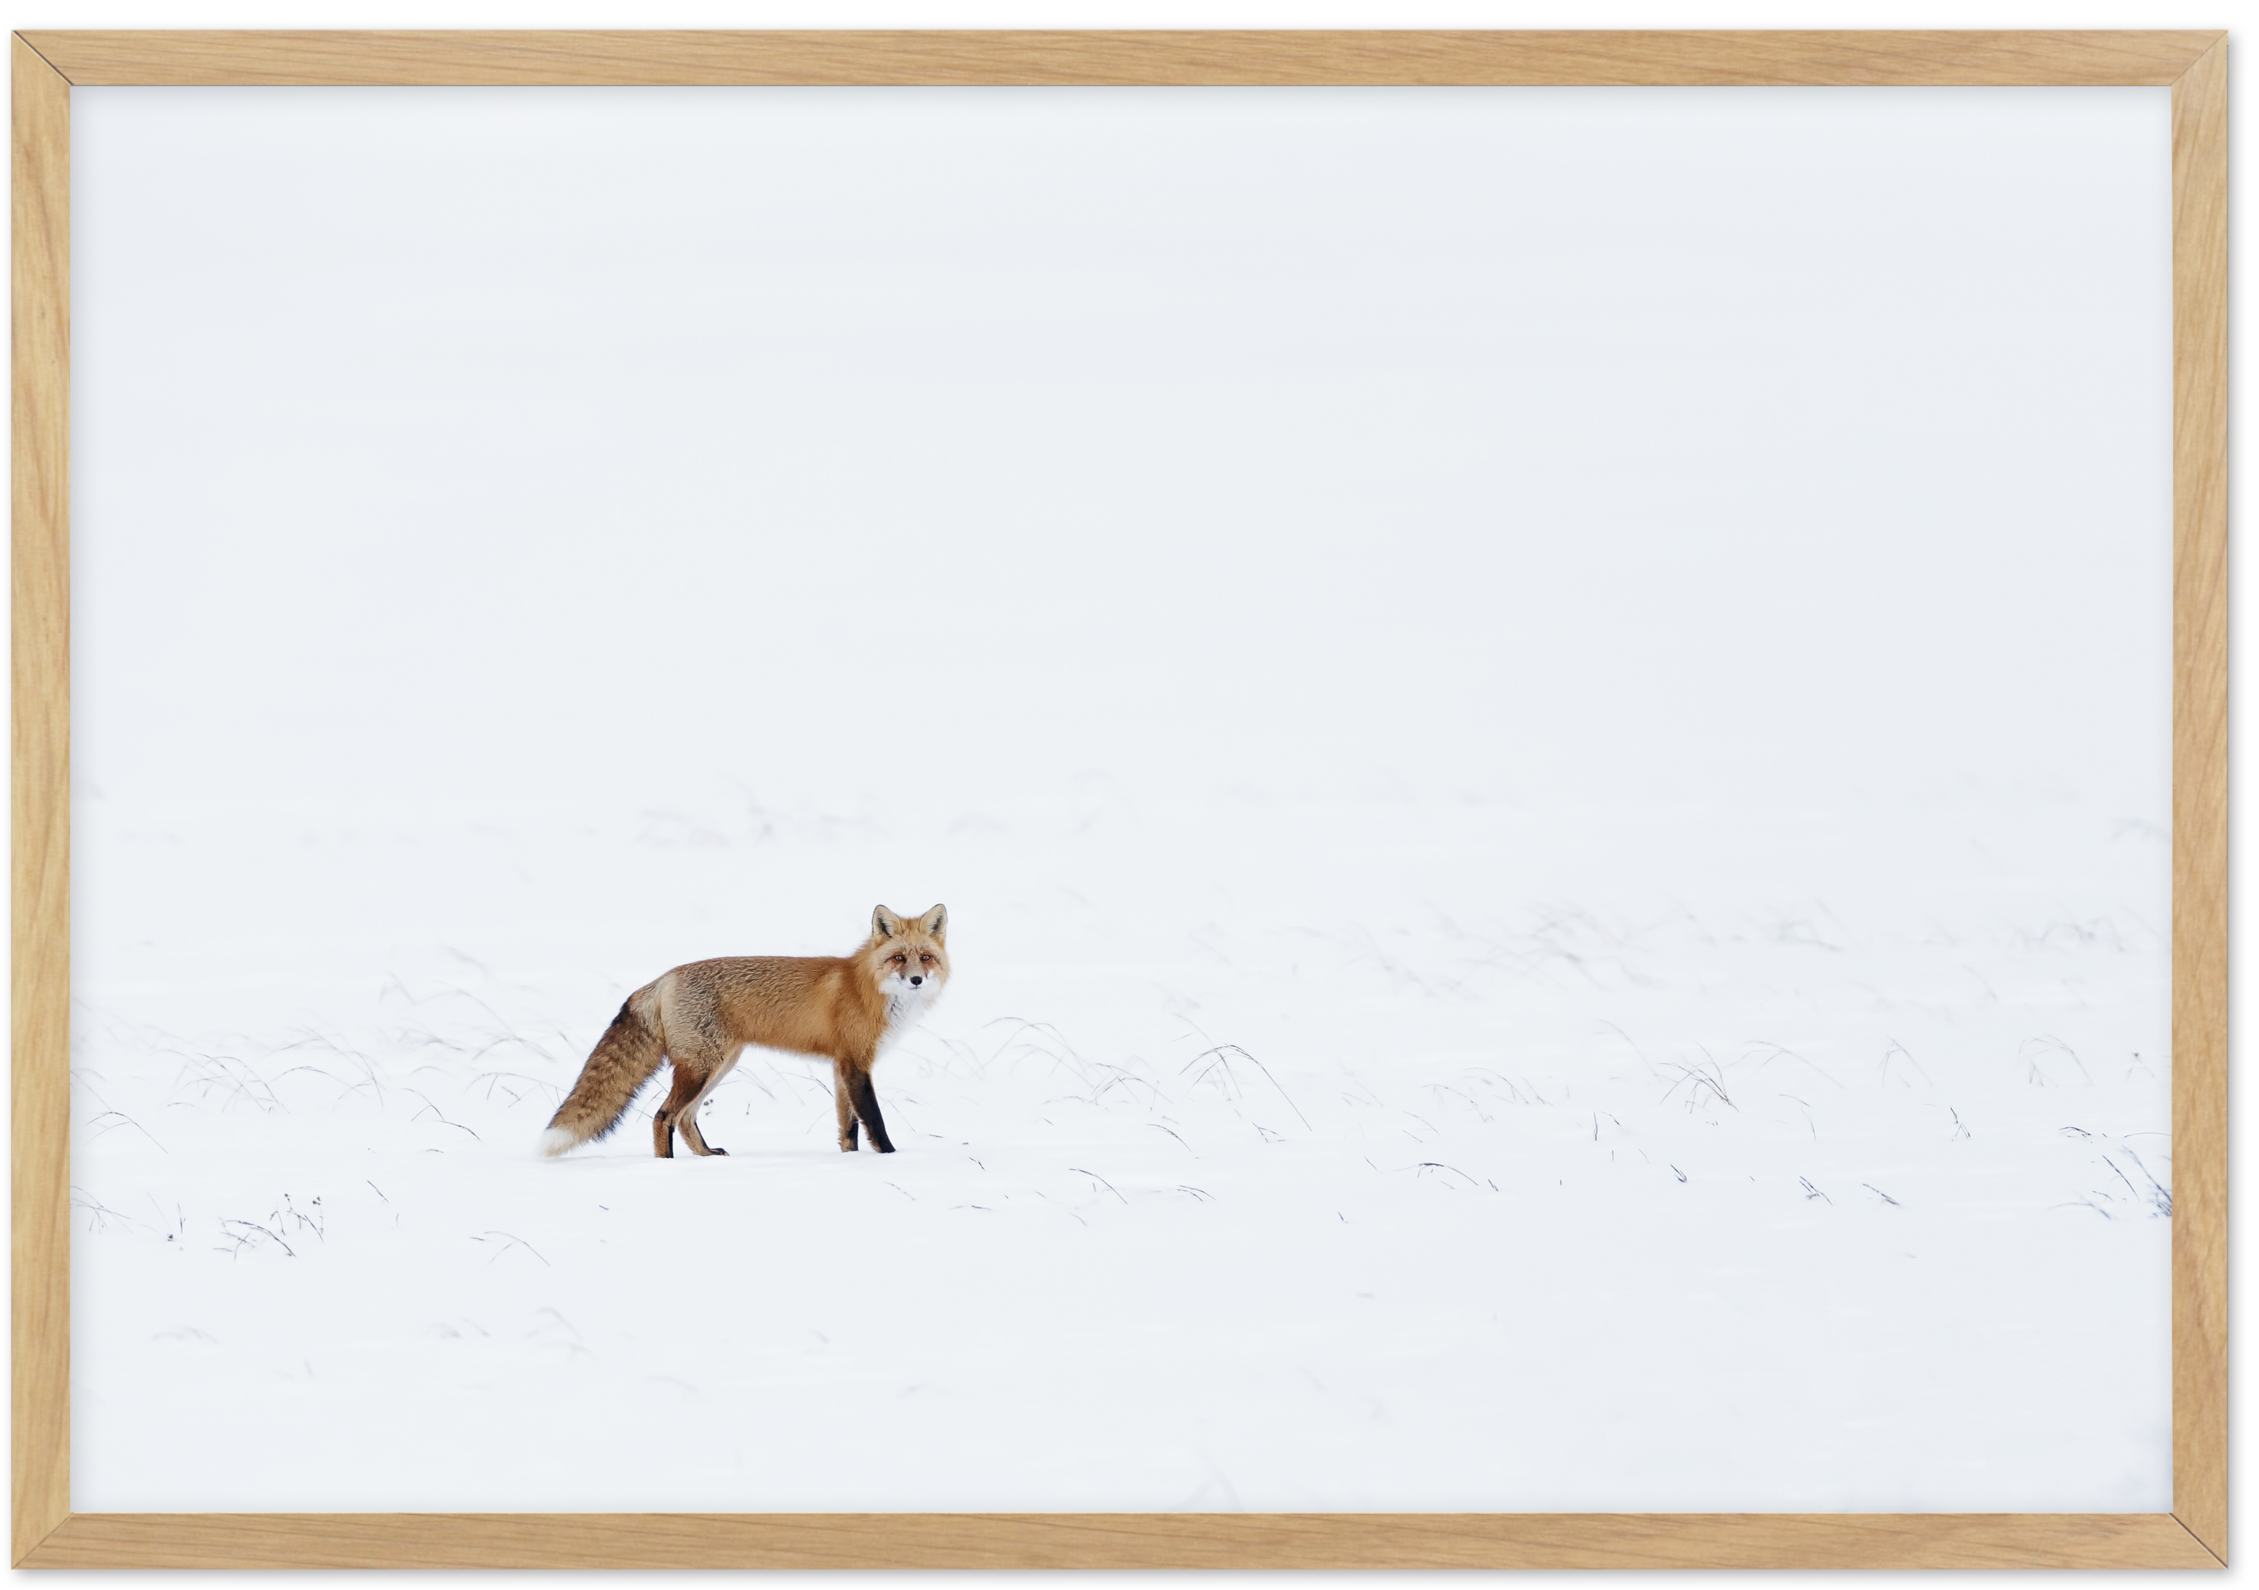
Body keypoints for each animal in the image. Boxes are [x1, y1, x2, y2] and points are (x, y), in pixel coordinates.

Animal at [535, 907, 944, 1156]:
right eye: (898, 958)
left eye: (926, 957)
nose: (917, 980)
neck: (868, 988)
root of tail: (664, 977)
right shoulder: (857, 1064)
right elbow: (874, 1120)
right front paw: (889, 1157)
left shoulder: (841, 1065)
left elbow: (849, 1128)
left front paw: (852, 1161)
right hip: (701, 1067)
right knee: (663, 1117)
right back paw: (667, 1167)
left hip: (719, 1066)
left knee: (684, 1118)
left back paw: (707, 1157)